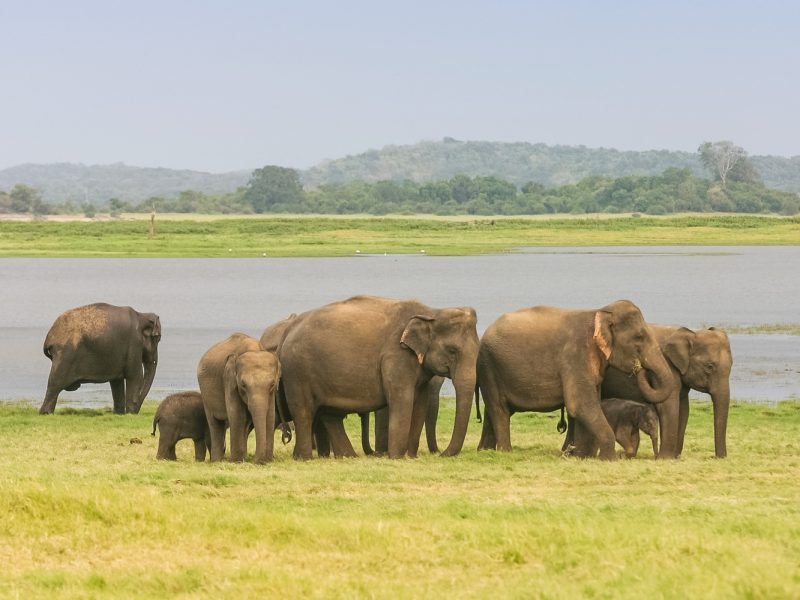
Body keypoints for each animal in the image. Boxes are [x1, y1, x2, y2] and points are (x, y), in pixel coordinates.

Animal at [197, 333, 281, 464]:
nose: (255, 460)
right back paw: (217, 461)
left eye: (272, 384)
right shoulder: (229, 380)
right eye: (243, 385)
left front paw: (266, 461)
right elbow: (237, 414)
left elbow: (270, 416)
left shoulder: (272, 392)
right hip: (205, 393)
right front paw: (236, 461)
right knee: (214, 423)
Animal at [276, 295, 479, 460]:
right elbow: (402, 400)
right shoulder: (396, 356)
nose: (441, 454)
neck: (431, 312)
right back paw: (304, 458)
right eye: (452, 351)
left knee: (330, 415)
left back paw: (346, 456)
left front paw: (411, 457)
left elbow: (420, 403)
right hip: (297, 371)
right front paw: (396, 457)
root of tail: (287, 330)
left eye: (478, 351)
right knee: (303, 412)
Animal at [476, 299, 672, 460]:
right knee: (499, 409)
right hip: (489, 366)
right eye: (639, 337)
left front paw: (580, 456)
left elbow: (590, 404)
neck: (598, 312)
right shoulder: (575, 356)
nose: (640, 368)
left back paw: (485, 451)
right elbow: (580, 404)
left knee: (494, 411)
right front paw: (609, 459)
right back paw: (505, 452)